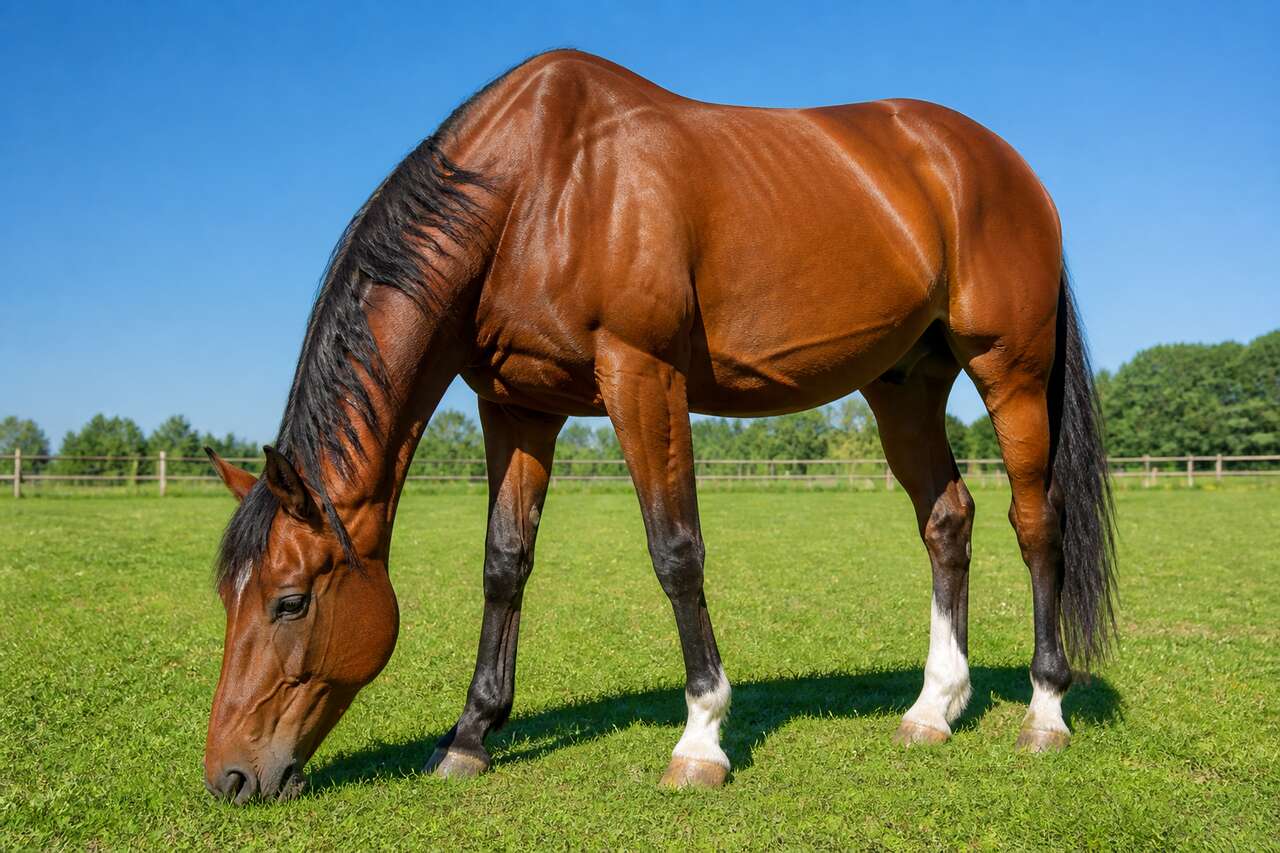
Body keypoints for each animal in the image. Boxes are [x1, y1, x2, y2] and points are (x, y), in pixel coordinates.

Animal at [201, 50, 1116, 803]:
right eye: (226, 597)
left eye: (288, 601)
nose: (231, 776)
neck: (538, 186)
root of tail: (1000, 164)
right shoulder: (520, 408)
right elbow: (505, 562)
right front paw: (470, 735)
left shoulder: (642, 376)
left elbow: (675, 551)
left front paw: (702, 737)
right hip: (905, 384)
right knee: (947, 519)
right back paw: (935, 707)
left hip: (1010, 369)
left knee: (1037, 522)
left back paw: (1045, 710)